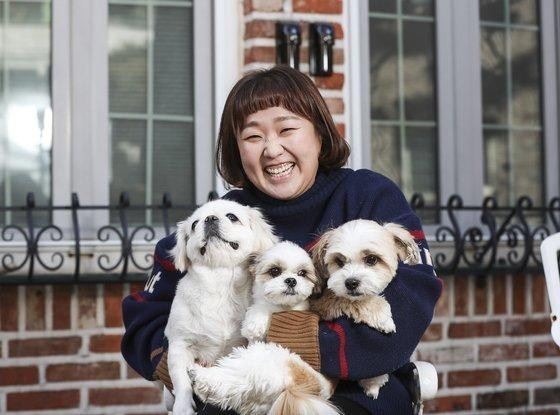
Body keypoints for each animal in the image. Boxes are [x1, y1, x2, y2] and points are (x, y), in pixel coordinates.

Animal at [164, 200, 278, 414]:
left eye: (232, 217)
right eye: (194, 225)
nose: (210, 219)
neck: (221, 281)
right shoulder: (179, 345)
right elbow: (181, 381)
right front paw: (182, 407)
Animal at [310, 221, 420, 400]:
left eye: (371, 259)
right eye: (339, 262)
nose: (350, 283)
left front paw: (372, 382)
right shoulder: (324, 303)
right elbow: (356, 301)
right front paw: (384, 319)